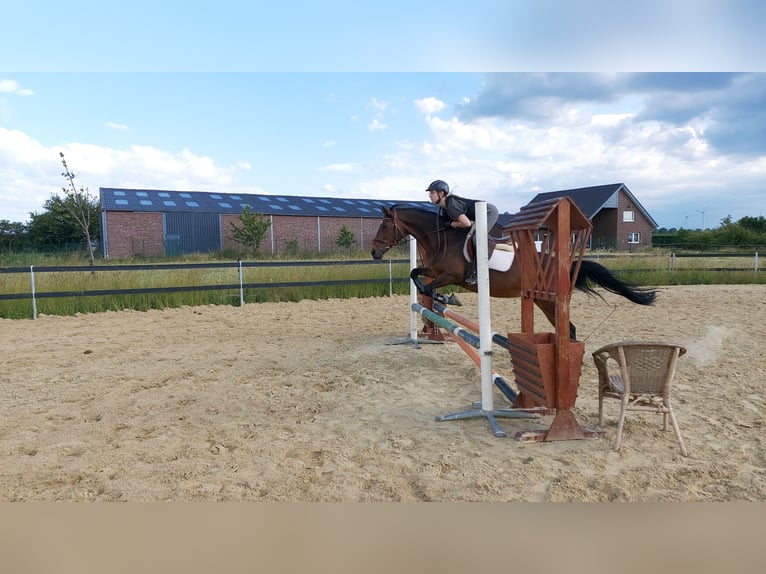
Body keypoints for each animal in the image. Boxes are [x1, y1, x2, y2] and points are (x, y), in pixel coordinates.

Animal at [368, 205, 656, 342]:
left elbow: (428, 287)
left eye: (385, 225)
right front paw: (443, 299)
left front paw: (448, 298)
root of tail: (563, 264)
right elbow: (415, 274)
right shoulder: (434, 269)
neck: (441, 238)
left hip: (547, 300)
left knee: (569, 328)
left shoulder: (453, 275)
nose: (374, 252)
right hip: (540, 299)